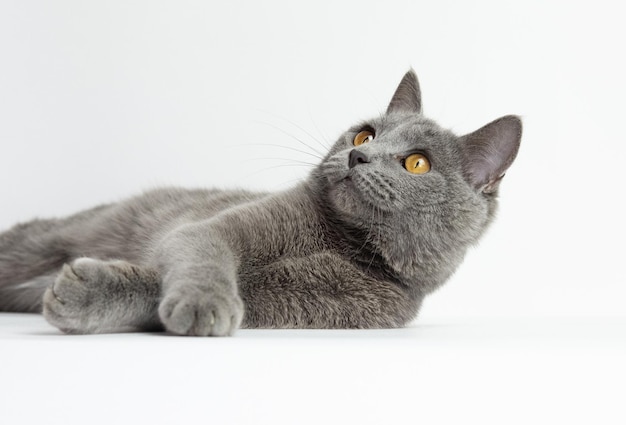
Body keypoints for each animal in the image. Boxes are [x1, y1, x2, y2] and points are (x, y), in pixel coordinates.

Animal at [0, 69, 520, 334]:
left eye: (416, 163)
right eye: (365, 134)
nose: (357, 155)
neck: (340, 242)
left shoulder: (312, 304)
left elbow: (176, 288)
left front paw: (87, 292)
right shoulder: (215, 228)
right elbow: (204, 252)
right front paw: (204, 301)